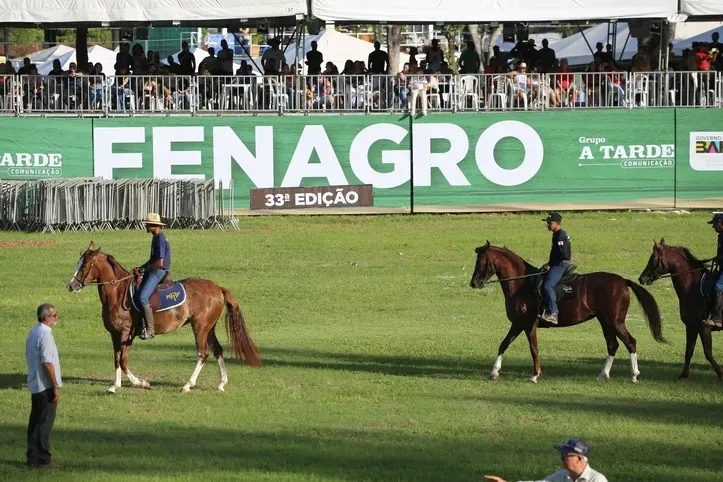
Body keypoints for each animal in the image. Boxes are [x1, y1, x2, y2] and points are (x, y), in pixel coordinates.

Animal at [66, 243, 262, 394]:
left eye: (84, 265)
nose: (71, 285)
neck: (118, 293)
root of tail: (218, 288)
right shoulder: (115, 335)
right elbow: (117, 359)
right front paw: (115, 386)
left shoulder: (126, 334)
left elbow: (123, 361)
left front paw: (141, 383)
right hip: (209, 328)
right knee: (218, 351)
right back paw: (221, 383)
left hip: (200, 327)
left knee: (203, 353)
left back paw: (187, 385)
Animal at [470, 243, 668, 382]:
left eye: (481, 262)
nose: (473, 283)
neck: (522, 284)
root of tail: (622, 281)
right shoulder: (518, 324)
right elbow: (503, 344)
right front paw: (494, 372)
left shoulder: (528, 324)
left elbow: (533, 349)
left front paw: (535, 375)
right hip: (605, 322)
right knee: (613, 345)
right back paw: (602, 375)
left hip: (615, 321)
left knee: (630, 342)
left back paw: (634, 375)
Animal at [640, 239, 723, 378]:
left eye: (653, 258)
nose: (641, 278)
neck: (693, 288)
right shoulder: (691, 327)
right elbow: (689, 351)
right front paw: (684, 374)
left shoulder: (704, 328)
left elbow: (708, 353)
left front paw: (720, 373)